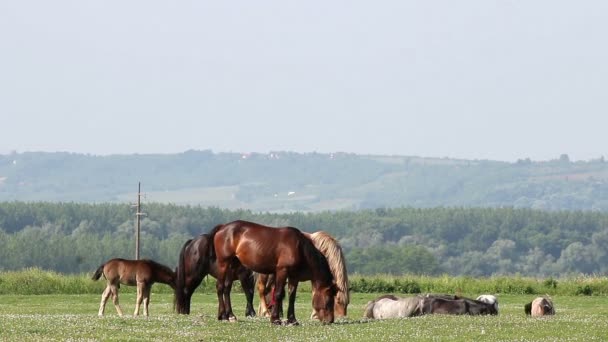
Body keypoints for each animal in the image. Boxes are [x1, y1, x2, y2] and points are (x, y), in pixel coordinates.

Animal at [209, 220, 338, 324]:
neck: (299, 247)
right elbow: (278, 293)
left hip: (233, 265)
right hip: (224, 263)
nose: (330, 320)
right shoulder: (282, 271)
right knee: (220, 287)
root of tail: (222, 227)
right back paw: (222, 315)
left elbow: (292, 296)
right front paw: (275, 319)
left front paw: (292, 319)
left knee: (227, 289)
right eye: (329, 300)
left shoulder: (294, 276)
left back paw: (230, 315)